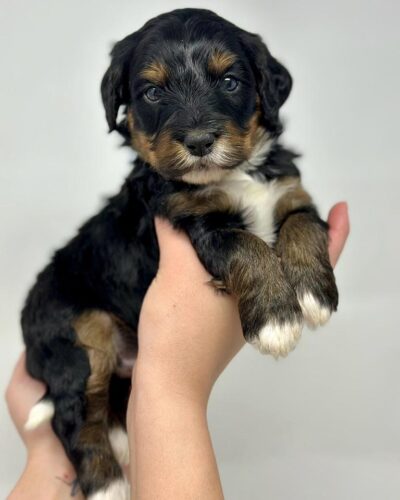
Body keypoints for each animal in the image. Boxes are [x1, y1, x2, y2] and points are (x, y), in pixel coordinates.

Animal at [21, 8, 338, 500]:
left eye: (229, 81)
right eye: (153, 92)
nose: (200, 141)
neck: (233, 175)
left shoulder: (289, 193)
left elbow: (301, 225)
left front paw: (312, 296)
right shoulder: (197, 220)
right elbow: (247, 245)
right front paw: (276, 322)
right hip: (77, 335)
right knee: (73, 413)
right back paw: (105, 482)